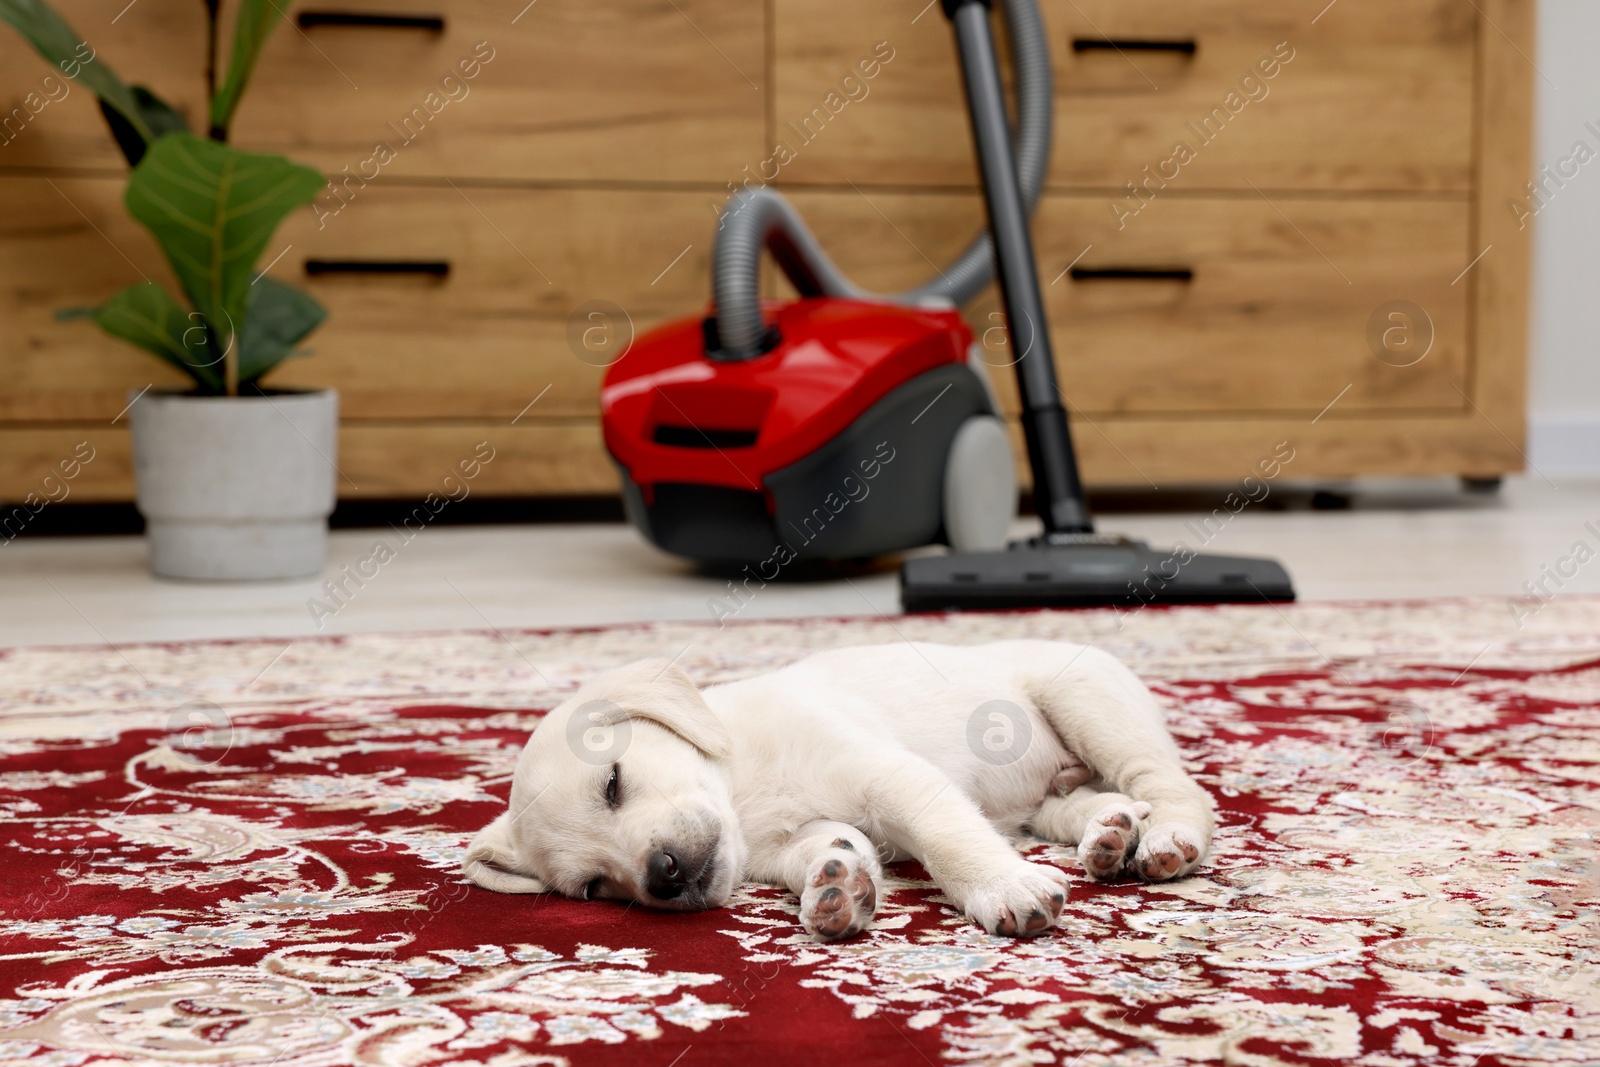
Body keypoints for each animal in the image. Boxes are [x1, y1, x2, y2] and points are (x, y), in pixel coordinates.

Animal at [464, 639, 1209, 940]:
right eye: (593, 888)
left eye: (613, 783)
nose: (662, 876)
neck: (741, 788)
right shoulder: (793, 839)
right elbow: (830, 848)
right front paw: (838, 889)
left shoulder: (890, 776)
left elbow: (948, 839)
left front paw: (1004, 890)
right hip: (1043, 800)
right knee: (1084, 803)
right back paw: (1111, 833)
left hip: (1088, 703)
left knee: (1177, 786)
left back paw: (1168, 838)